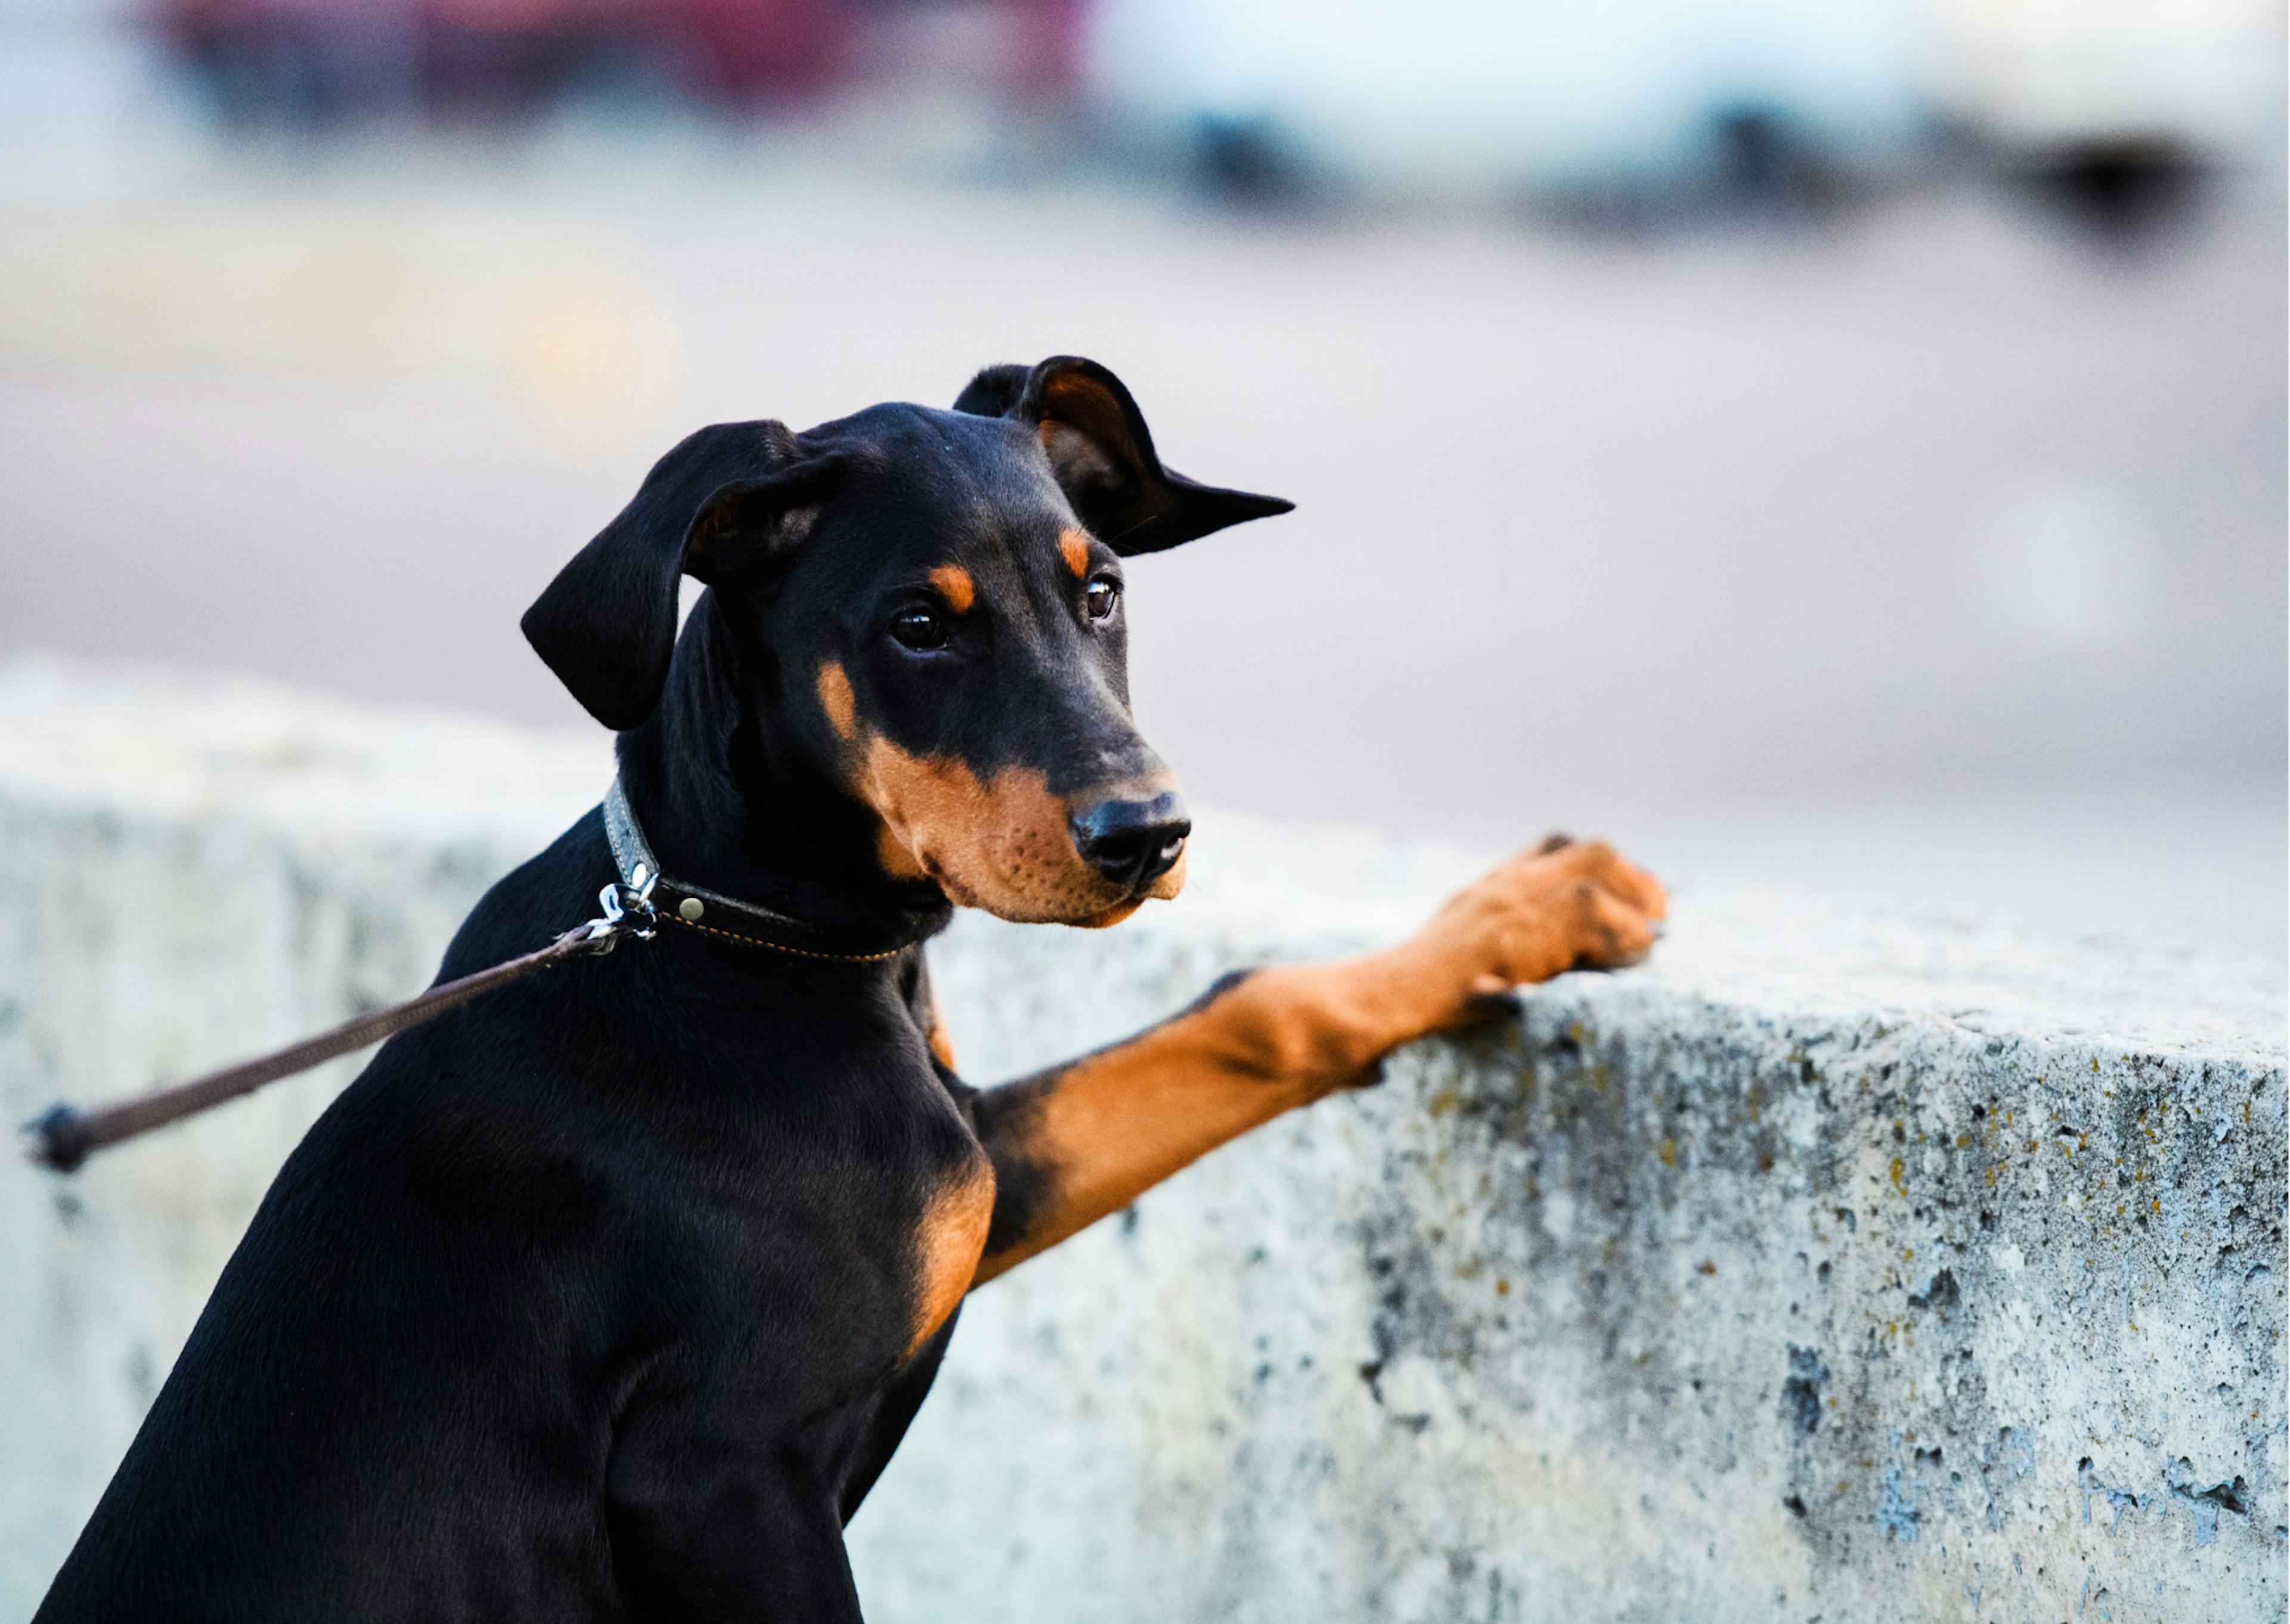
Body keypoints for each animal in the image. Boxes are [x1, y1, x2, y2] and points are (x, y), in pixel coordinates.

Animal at [36, 357, 1667, 1622]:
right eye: (918, 625)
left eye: (1101, 594)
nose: (1148, 835)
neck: (724, 928)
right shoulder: (722, 1482)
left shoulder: (967, 1179)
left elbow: (1248, 1012)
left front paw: (1531, 906)